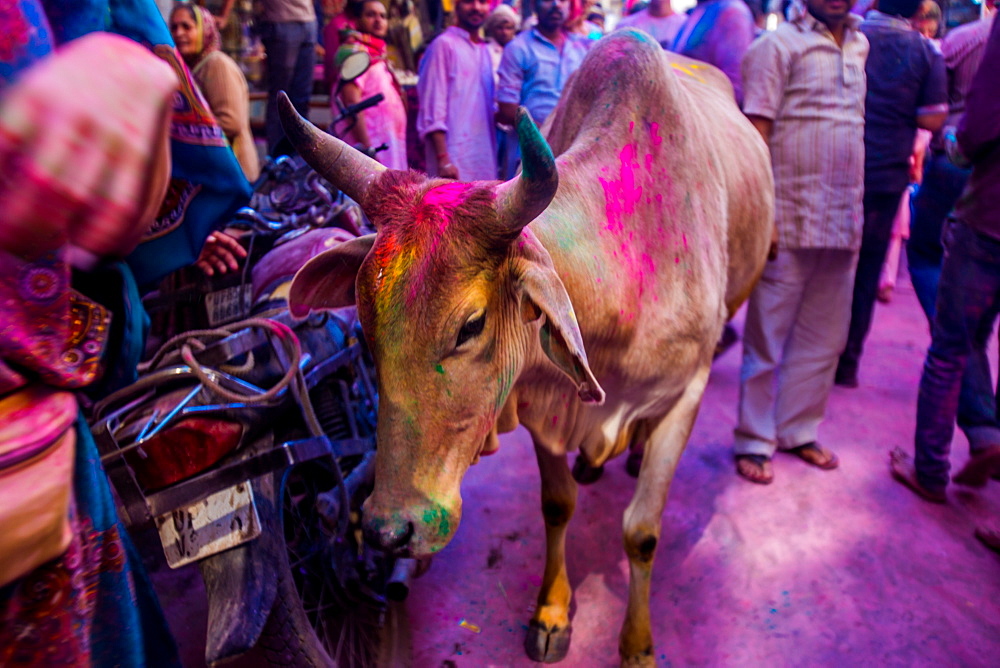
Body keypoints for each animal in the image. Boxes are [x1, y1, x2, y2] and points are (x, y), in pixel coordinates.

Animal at [282, 28, 772, 664]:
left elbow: (642, 532)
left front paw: (637, 644)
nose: (391, 530)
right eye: (366, 321)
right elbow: (557, 505)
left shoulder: (686, 393)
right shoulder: (543, 404)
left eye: (471, 325)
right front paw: (551, 612)